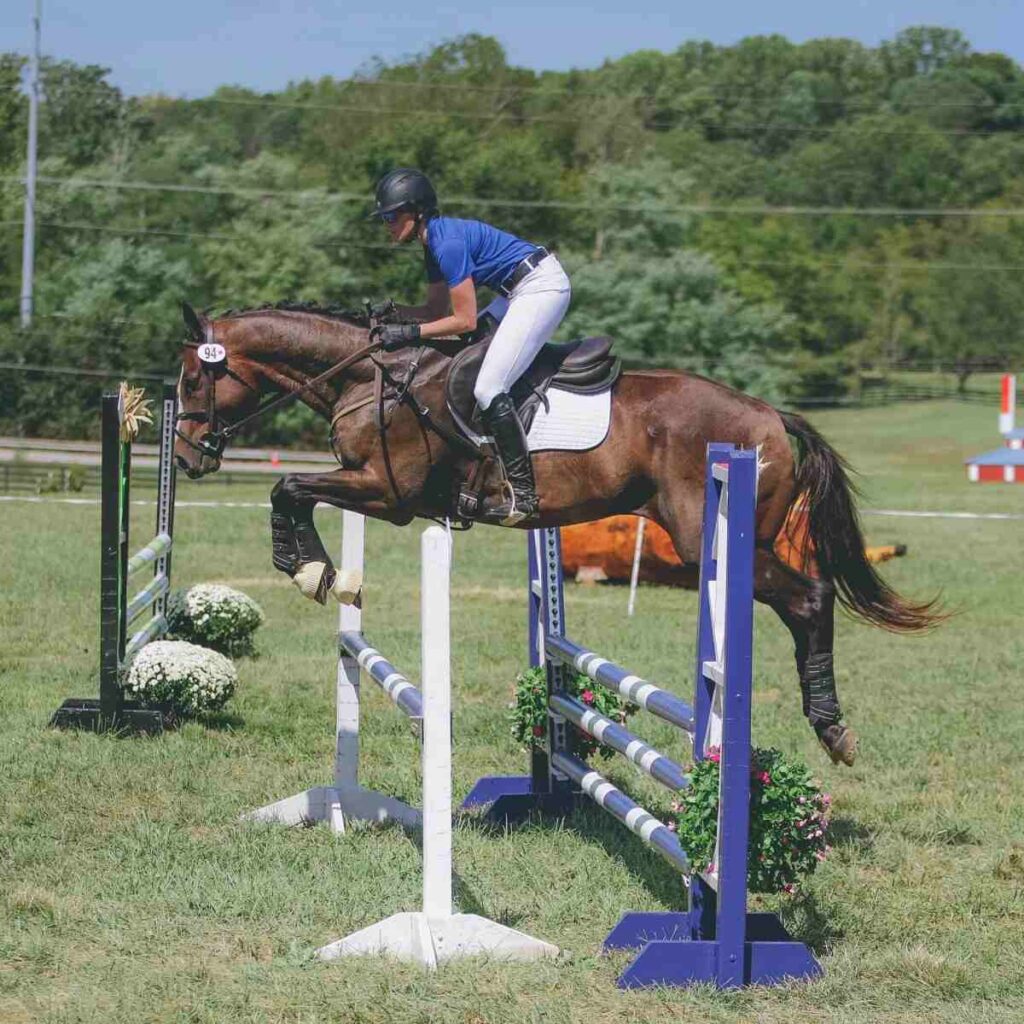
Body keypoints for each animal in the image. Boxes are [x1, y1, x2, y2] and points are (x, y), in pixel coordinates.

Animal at [172, 299, 937, 765]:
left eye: (191, 379)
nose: (184, 458)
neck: (371, 377)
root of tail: (771, 415)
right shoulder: (372, 485)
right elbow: (294, 491)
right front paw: (320, 570)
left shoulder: (388, 493)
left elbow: (288, 487)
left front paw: (310, 570)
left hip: (711, 543)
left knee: (809, 598)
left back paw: (831, 728)